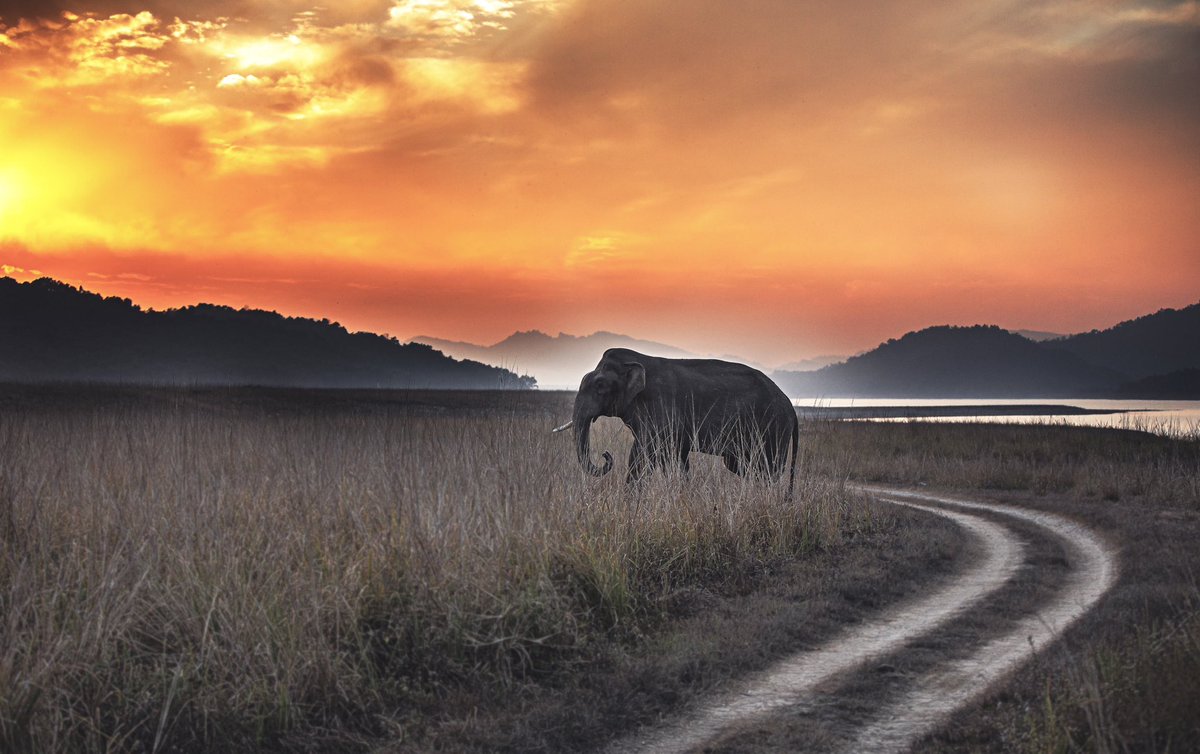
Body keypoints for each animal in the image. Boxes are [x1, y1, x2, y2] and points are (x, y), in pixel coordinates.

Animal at [554, 348, 799, 495]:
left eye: (600, 386)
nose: (605, 455)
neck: (634, 362)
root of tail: (790, 406)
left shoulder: (661, 408)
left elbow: (643, 453)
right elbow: (674, 457)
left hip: (774, 426)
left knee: (769, 466)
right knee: (739, 463)